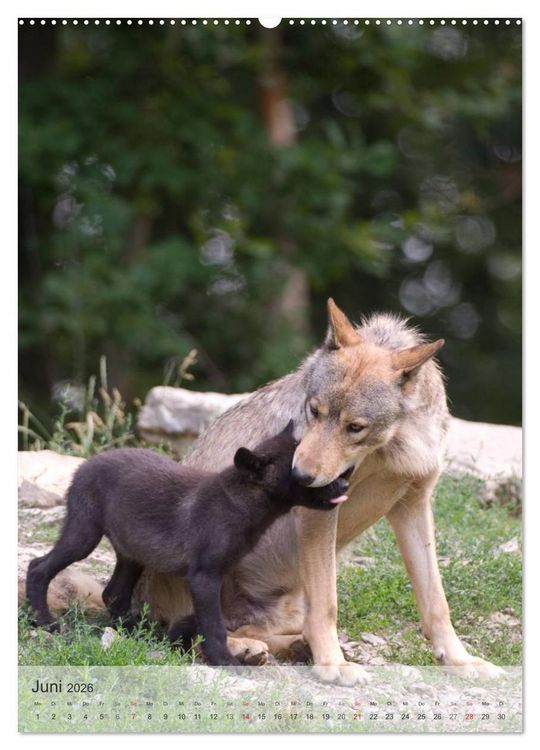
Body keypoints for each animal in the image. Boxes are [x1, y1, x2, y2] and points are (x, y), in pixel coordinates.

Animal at [26, 424, 347, 665]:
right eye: (297, 468)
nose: (344, 484)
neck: (237, 504)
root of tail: (85, 465)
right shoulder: (204, 576)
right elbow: (214, 625)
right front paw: (223, 660)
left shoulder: (217, 577)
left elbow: (205, 618)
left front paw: (178, 640)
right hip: (83, 535)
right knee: (38, 567)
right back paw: (43, 621)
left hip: (132, 554)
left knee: (113, 594)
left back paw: (136, 631)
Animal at [134, 299, 501, 683]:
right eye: (314, 410)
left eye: (354, 427)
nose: (297, 476)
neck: (393, 445)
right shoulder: (319, 515)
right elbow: (328, 604)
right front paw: (334, 665)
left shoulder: (414, 504)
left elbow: (436, 602)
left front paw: (460, 660)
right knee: (188, 634)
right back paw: (248, 650)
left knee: (249, 628)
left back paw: (291, 646)